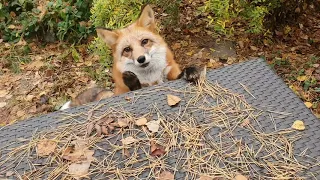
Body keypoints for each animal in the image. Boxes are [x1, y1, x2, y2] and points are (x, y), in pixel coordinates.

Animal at [59, 4, 200, 110]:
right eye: (127, 49)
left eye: (144, 41)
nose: (141, 59)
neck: (151, 79)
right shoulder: (124, 90)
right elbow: (134, 88)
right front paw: (132, 81)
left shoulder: (170, 74)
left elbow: (180, 75)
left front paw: (190, 71)